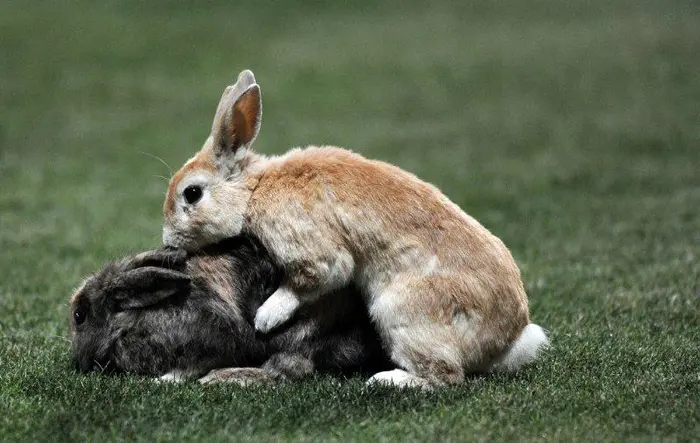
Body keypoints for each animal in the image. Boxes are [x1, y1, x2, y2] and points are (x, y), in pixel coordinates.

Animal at [69, 236, 388, 386]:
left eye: (79, 316)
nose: (78, 363)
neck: (130, 320)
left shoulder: (215, 336)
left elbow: (191, 365)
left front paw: (165, 381)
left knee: (292, 368)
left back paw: (222, 378)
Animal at [161, 69, 548, 388]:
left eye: (192, 194)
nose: (167, 242)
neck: (255, 189)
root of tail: (508, 341)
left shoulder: (311, 248)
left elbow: (313, 278)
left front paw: (265, 319)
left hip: (402, 312)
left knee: (446, 376)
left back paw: (387, 380)